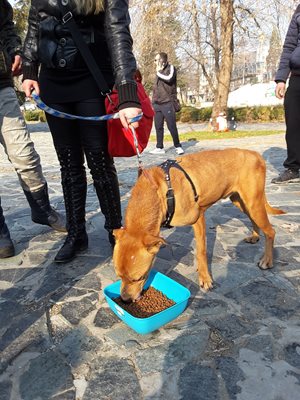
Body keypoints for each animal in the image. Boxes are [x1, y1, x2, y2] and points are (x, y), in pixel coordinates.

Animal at [112, 148, 284, 302]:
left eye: (138, 278)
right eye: (119, 276)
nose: (125, 300)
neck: (159, 192)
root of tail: (255, 153)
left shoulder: (198, 219)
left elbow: (201, 252)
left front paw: (205, 278)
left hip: (253, 203)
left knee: (271, 231)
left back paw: (267, 261)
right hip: (241, 202)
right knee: (255, 221)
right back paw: (255, 236)